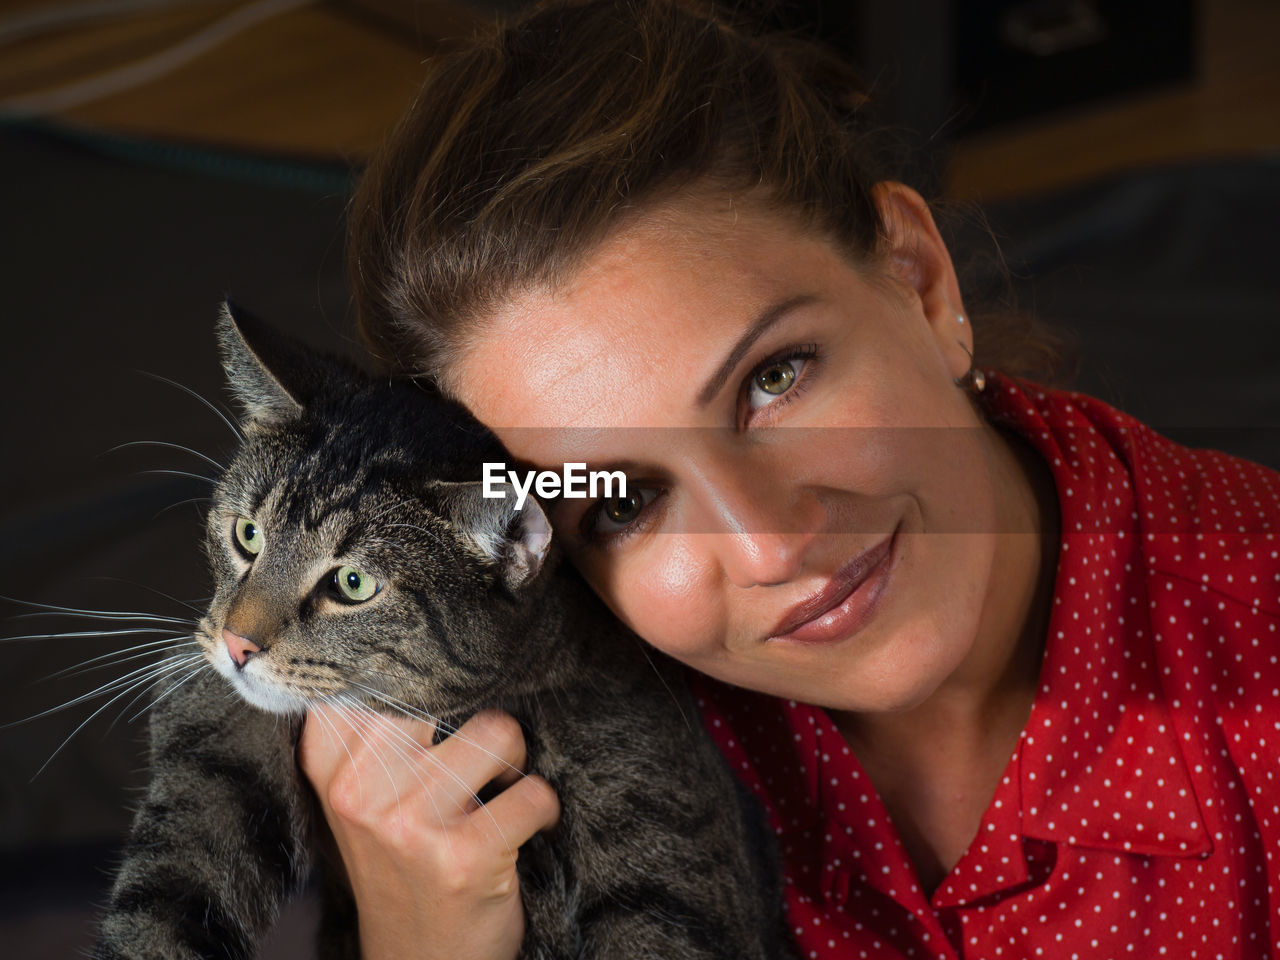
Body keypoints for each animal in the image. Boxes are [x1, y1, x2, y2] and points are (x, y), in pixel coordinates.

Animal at [92, 305, 788, 960]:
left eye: (353, 584)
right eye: (247, 534)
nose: (237, 645)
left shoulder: (661, 828)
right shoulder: (211, 739)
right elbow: (163, 901)